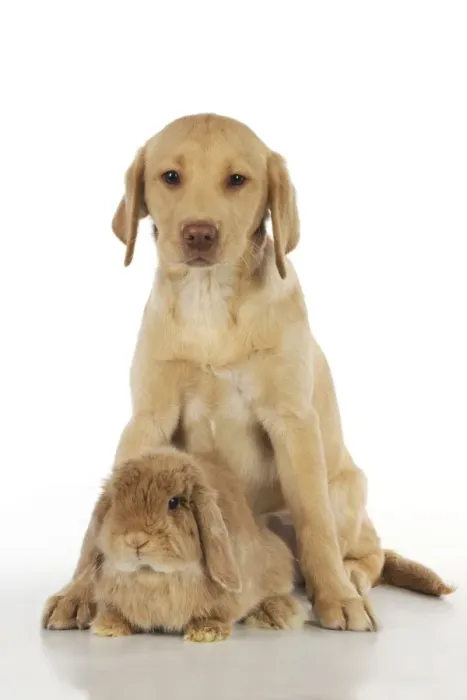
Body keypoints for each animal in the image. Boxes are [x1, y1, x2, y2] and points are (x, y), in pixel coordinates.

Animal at [91, 447, 305, 642]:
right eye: (116, 502)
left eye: (174, 502)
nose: (135, 539)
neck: (153, 575)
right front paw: (107, 627)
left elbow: (217, 614)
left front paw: (206, 633)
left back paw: (278, 614)